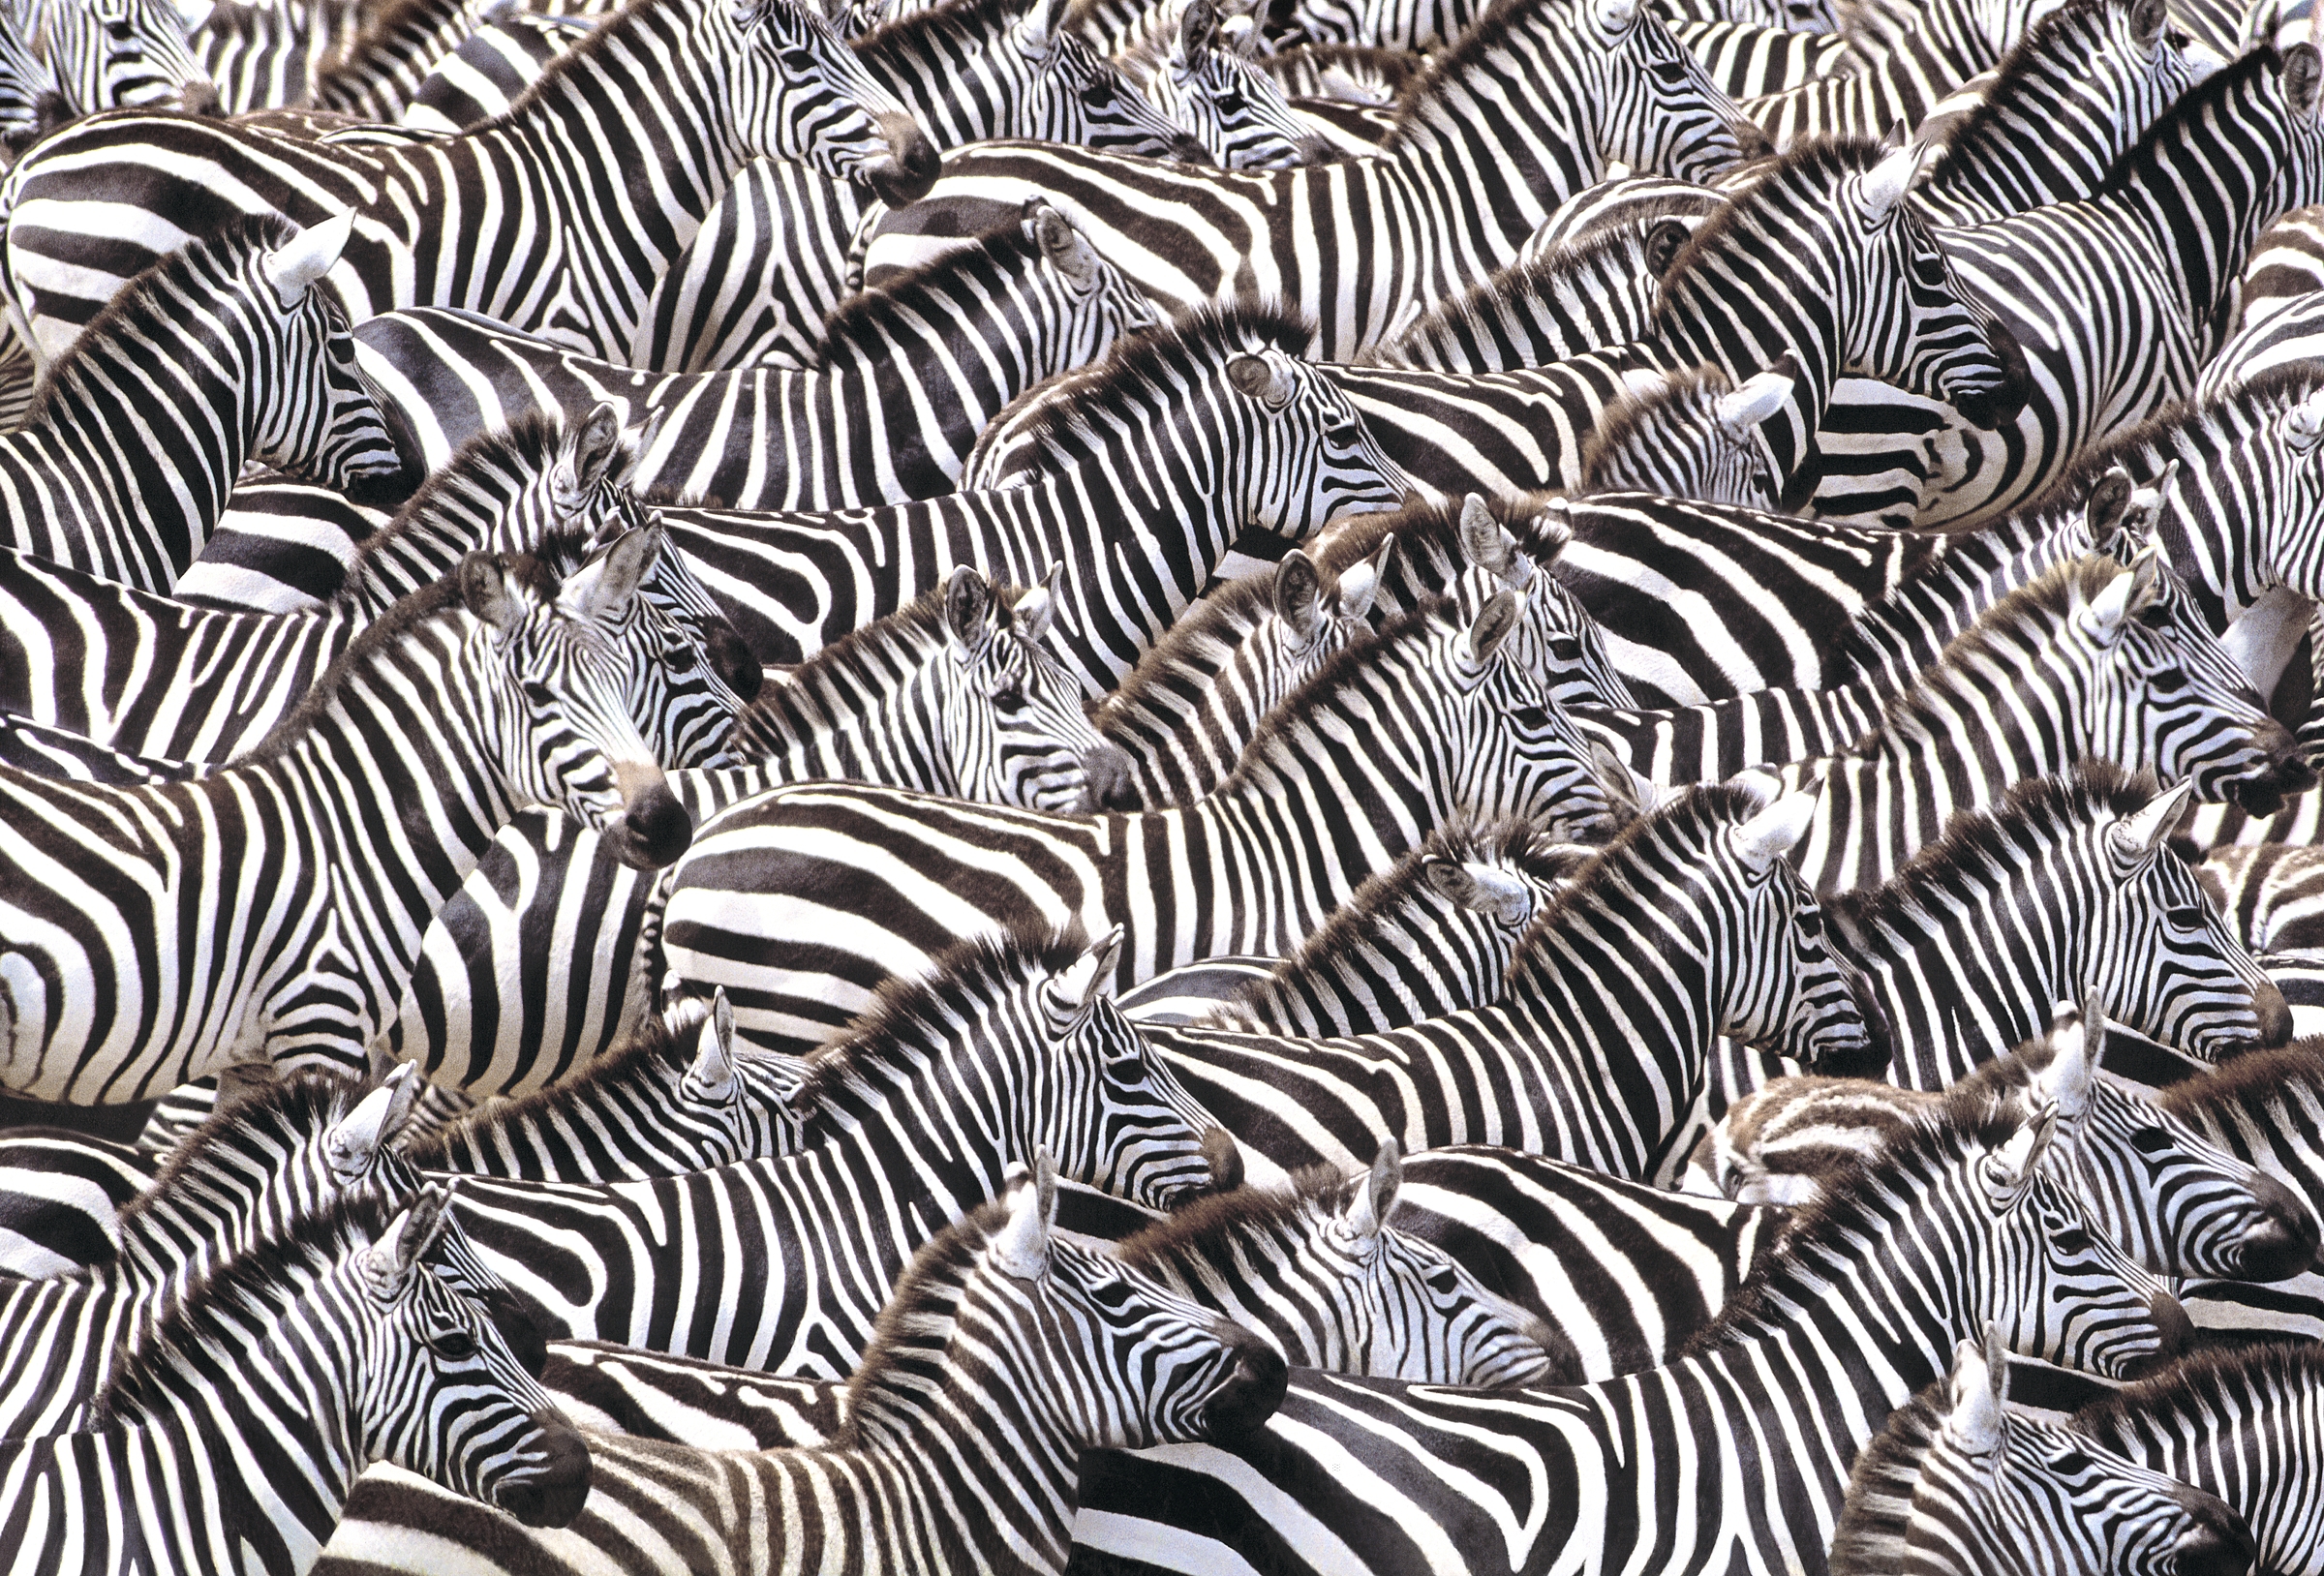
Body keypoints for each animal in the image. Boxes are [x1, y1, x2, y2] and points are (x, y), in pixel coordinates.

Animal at [0, 0, 940, 366]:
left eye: (850, 34)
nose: (924, 158)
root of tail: (39, 161)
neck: (587, 198)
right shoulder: (558, 343)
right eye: (797, 60)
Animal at [0, 541, 700, 1104]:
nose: (666, 824)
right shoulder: (321, 1028)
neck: (348, 837)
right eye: (537, 695)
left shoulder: (254, 1059)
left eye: (625, 681)